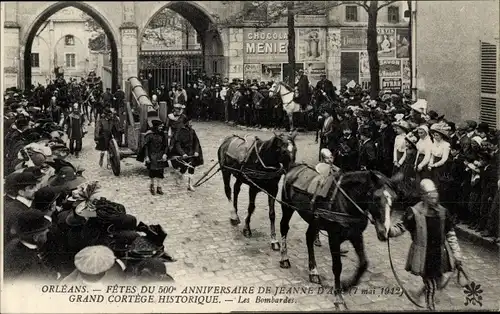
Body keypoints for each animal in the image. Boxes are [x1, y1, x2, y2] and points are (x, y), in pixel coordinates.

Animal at [282, 166, 402, 306]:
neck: (346, 202)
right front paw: (338, 296)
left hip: (314, 221)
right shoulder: (334, 238)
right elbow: (337, 267)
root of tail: (293, 169)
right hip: (287, 207)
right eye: (376, 198)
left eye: (395, 200)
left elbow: (363, 263)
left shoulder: (356, 235)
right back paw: (284, 259)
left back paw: (313, 272)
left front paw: (347, 285)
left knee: (309, 237)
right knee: (284, 228)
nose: (385, 231)